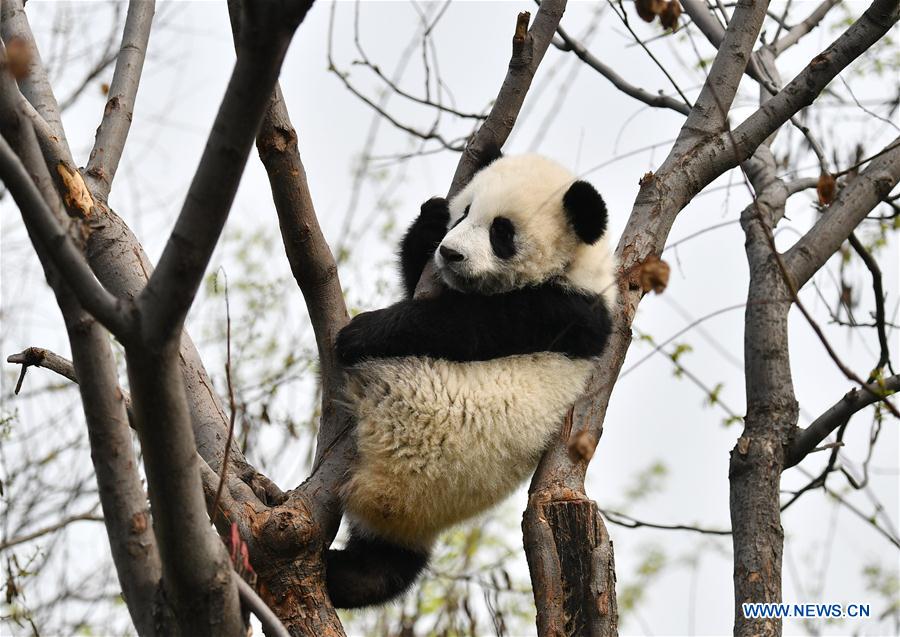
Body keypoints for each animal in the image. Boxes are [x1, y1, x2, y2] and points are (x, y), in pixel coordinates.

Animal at [326, 153, 617, 609]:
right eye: (464, 212)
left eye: (502, 231)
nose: (450, 253)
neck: (576, 267)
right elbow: (419, 277)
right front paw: (429, 220)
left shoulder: (564, 311)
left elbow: (465, 326)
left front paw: (360, 332)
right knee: (384, 569)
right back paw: (338, 573)